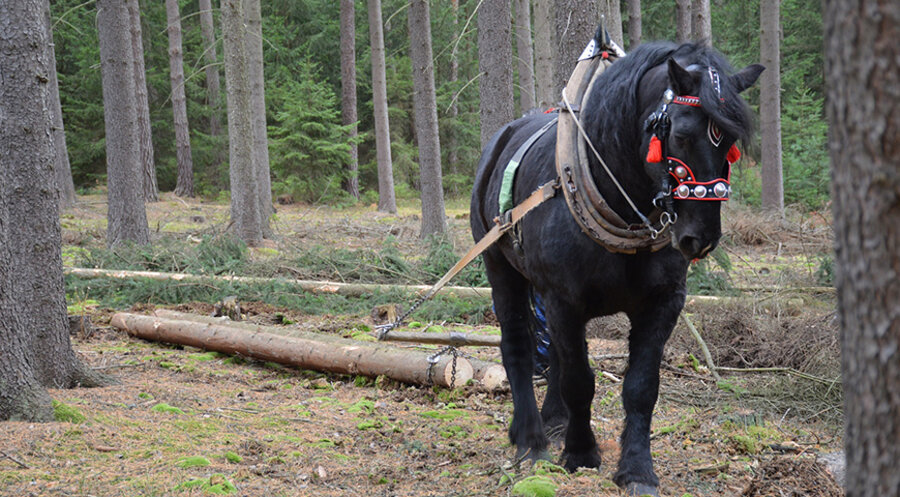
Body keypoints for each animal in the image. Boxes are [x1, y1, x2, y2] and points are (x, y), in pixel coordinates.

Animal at [470, 39, 763, 496]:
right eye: (681, 134)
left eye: (729, 142)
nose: (700, 238)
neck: (619, 201)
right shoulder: (563, 299)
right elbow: (579, 379)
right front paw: (580, 453)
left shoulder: (662, 303)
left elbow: (640, 387)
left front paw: (637, 468)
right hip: (501, 268)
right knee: (517, 345)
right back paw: (530, 438)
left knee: (553, 353)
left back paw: (554, 420)